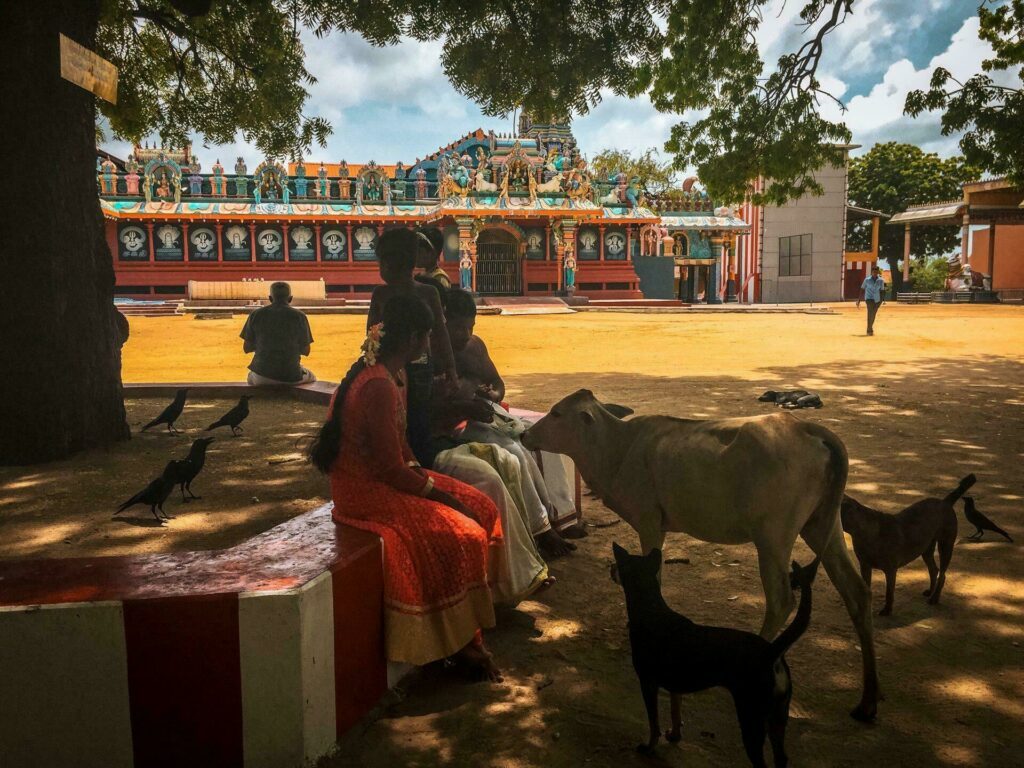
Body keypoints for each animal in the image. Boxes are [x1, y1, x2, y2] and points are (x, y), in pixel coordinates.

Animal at [524, 391, 884, 720]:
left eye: (556, 413)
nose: (524, 435)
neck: (616, 450)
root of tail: (811, 429)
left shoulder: (649, 520)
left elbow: (653, 575)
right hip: (823, 522)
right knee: (856, 591)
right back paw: (868, 701)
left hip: (773, 534)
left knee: (781, 600)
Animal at [610, 544, 819, 765]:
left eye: (619, 565)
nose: (610, 566)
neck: (651, 609)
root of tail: (772, 652)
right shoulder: (676, 685)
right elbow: (675, 712)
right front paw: (675, 736)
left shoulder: (648, 683)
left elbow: (653, 723)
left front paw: (649, 747)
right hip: (777, 715)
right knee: (782, 758)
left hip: (752, 716)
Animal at [839, 473, 974, 618]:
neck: (865, 531)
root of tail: (945, 502)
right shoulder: (865, 566)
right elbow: (867, 587)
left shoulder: (890, 570)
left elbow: (889, 593)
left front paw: (887, 610)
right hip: (926, 549)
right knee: (934, 570)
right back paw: (930, 591)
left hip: (946, 546)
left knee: (942, 574)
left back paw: (934, 598)